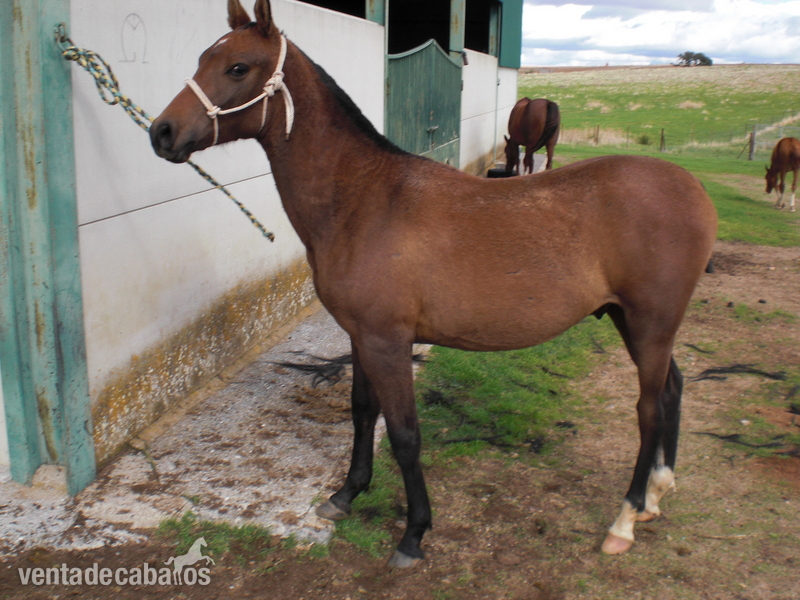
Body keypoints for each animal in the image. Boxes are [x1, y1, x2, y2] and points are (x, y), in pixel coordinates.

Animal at [150, 0, 718, 569]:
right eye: (203, 58)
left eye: (237, 67)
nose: (162, 132)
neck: (363, 199)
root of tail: (692, 189)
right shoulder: (361, 336)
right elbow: (362, 412)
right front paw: (346, 494)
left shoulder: (388, 341)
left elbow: (404, 434)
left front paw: (414, 533)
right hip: (634, 322)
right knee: (672, 389)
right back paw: (655, 496)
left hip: (650, 323)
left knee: (649, 410)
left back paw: (625, 519)